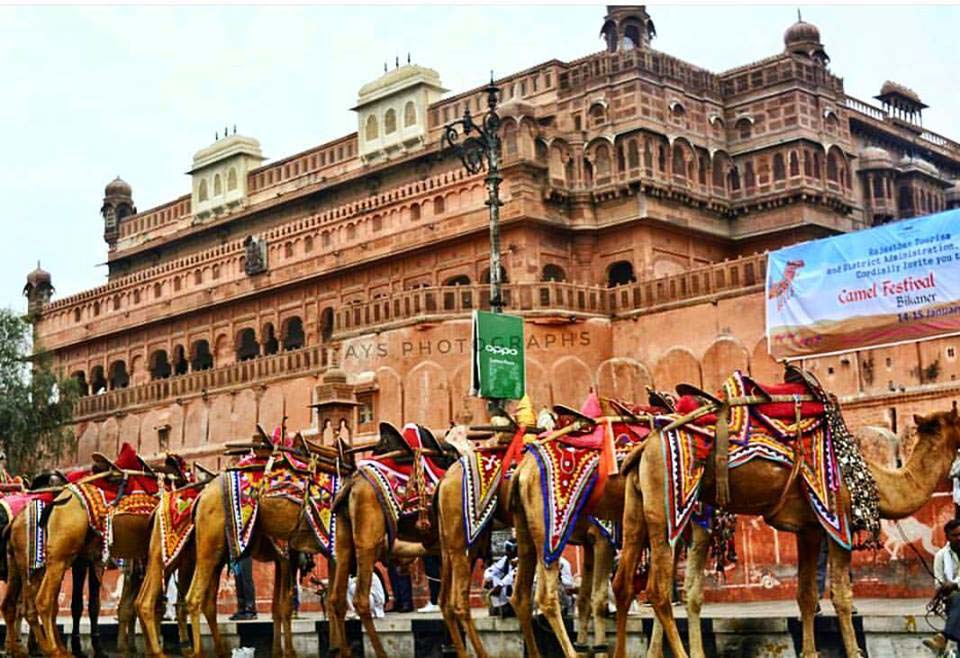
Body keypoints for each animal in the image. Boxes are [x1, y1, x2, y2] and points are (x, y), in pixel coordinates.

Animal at [616, 408, 960, 656]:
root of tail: (642, 448)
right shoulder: (840, 523)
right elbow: (841, 595)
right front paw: (854, 651)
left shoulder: (808, 529)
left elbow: (806, 595)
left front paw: (810, 652)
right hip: (667, 510)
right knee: (659, 591)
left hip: (637, 507)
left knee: (625, 584)